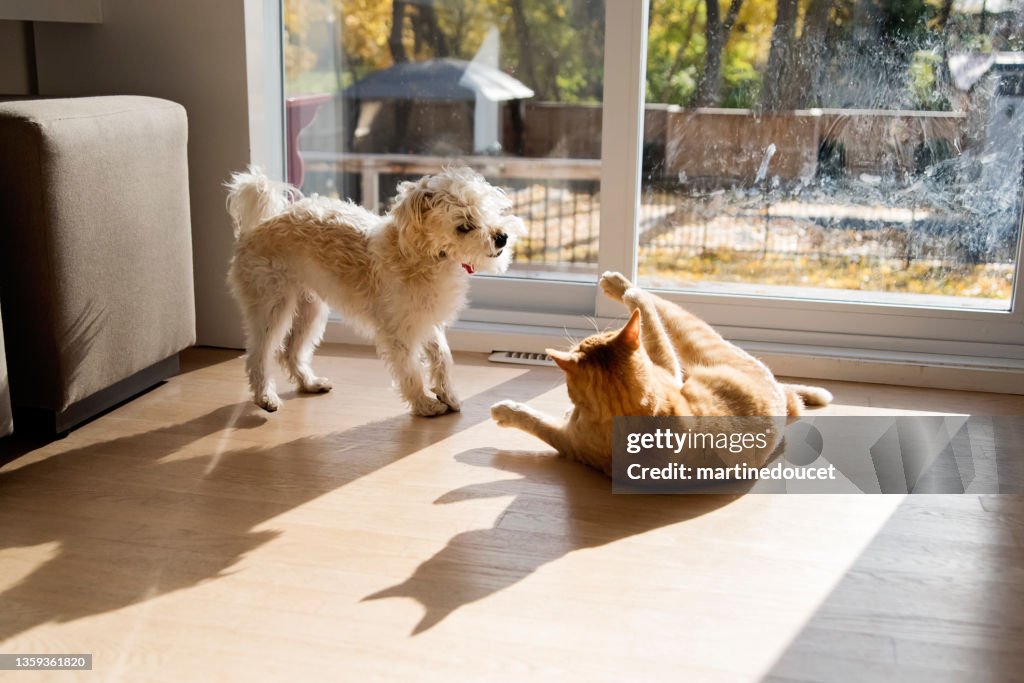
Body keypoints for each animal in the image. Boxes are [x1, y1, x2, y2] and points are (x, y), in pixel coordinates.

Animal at [227, 166, 524, 417]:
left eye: (487, 211)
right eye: (464, 226)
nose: (502, 237)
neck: (424, 256)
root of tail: (257, 226)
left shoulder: (423, 319)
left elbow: (442, 356)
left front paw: (448, 395)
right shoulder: (399, 333)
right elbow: (410, 370)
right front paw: (425, 404)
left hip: (310, 310)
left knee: (290, 352)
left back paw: (310, 383)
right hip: (272, 307)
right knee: (259, 355)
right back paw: (265, 397)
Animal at [489, 272, 831, 475]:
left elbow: (533, 419)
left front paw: (506, 411)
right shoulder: (568, 440)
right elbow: (537, 421)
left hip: (699, 342)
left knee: (651, 302)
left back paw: (618, 283)